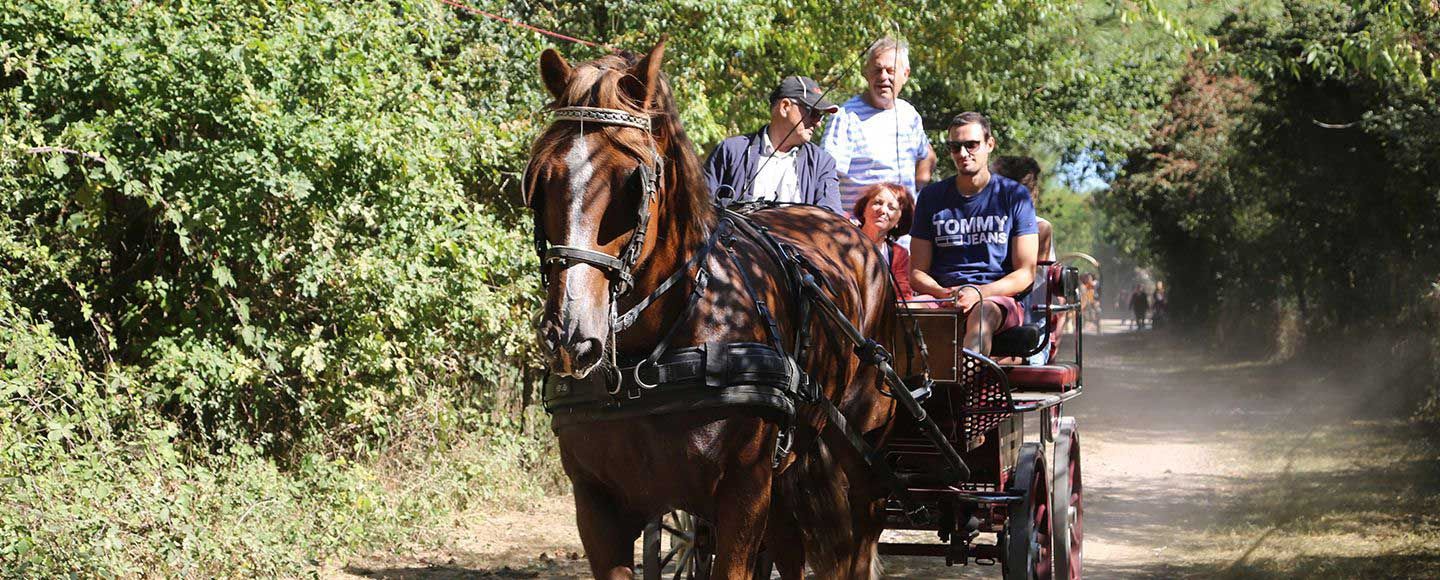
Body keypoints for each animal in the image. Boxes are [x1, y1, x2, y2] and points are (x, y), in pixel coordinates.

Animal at [527, 39, 898, 575]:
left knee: (857, 543)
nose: (571, 336)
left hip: (862, 456)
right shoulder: (596, 506)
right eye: (539, 180)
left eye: (632, 184)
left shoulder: (744, 494)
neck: (654, 356)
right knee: (791, 549)